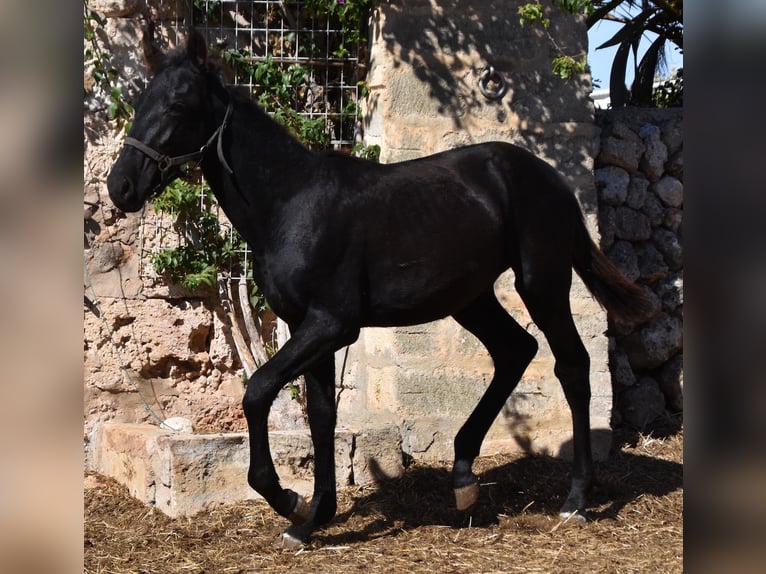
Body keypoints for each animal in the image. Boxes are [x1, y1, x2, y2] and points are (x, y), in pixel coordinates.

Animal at [106, 28, 648, 548]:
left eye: (179, 104)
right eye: (141, 100)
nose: (121, 187)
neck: (291, 204)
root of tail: (553, 180)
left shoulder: (333, 324)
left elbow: (258, 392)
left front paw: (286, 499)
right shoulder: (306, 327)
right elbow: (321, 416)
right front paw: (311, 520)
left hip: (542, 283)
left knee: (572, 365)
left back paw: (575, 500)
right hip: (470, 299)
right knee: (516, 350)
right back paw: (463, 480)